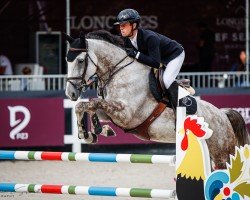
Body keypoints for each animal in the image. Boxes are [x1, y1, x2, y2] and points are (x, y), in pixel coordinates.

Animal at [65, 30, 249, 168]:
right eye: (67, 61)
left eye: (80, 61)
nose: (70, 93)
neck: (119, 72)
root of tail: (223, 115)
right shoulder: (111, 112)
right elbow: (86, 106)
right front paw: (92, 132)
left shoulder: (126, 114)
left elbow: (92, 103)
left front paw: (91, 132)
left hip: (222, 155)